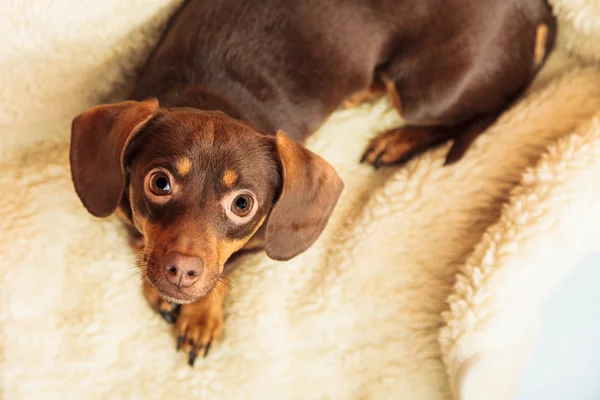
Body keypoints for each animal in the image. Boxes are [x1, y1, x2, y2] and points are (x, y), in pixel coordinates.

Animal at [68, 0, 556, 366]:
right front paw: (158, 287)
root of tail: (535, 6)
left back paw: (396, 141)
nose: (181, 271)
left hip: (427, 92)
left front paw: (200, 317)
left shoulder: (255, 245)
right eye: (159, 183)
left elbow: (224, 274)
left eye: (243, 204)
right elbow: (138, 238)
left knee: (471, 112)